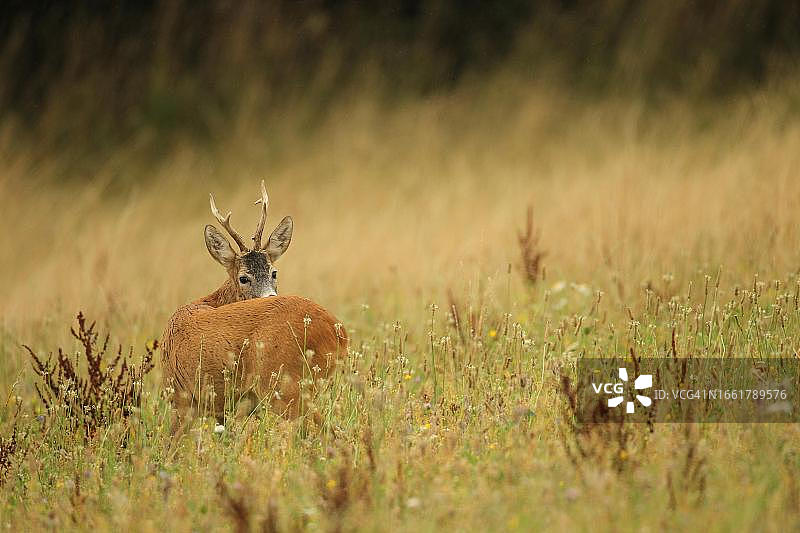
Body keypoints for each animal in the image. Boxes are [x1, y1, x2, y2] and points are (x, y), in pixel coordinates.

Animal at [161, 181, 348, 422]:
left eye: (274, 272)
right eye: (243, 278)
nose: (271, 297)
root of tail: (338, 332)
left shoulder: (181, 397)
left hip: (283, 385)